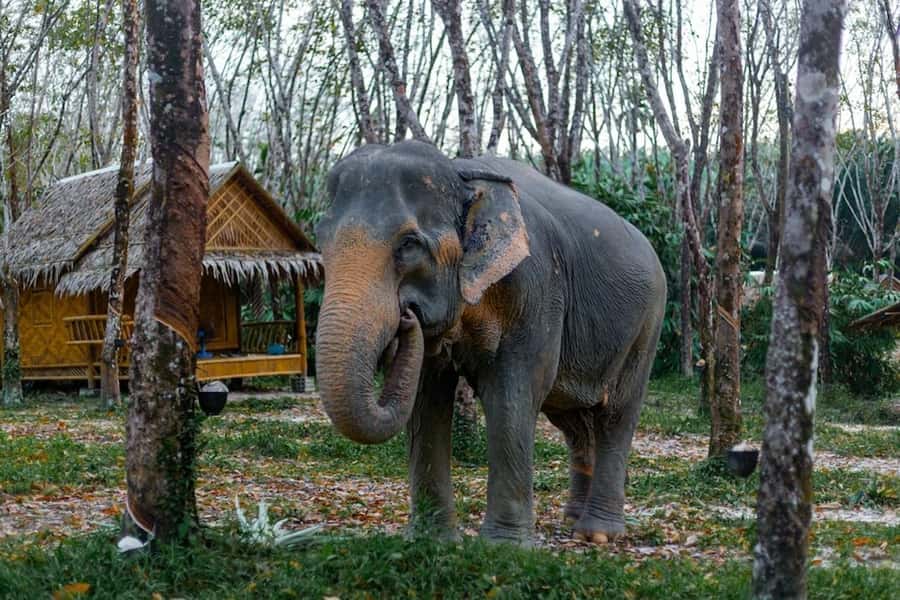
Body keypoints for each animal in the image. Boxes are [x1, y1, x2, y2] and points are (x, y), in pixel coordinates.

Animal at [315, 140, 666, 545]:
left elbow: (513, 391)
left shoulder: (537, 285)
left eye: (409, 244)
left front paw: (504, 546)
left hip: (647, 325)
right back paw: (572, 522)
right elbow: (426, 398)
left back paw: (596, 535)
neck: (462, 172)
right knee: (573, 420)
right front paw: (432, 540)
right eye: (321, 241)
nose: (406, 316)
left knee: (616, 414)